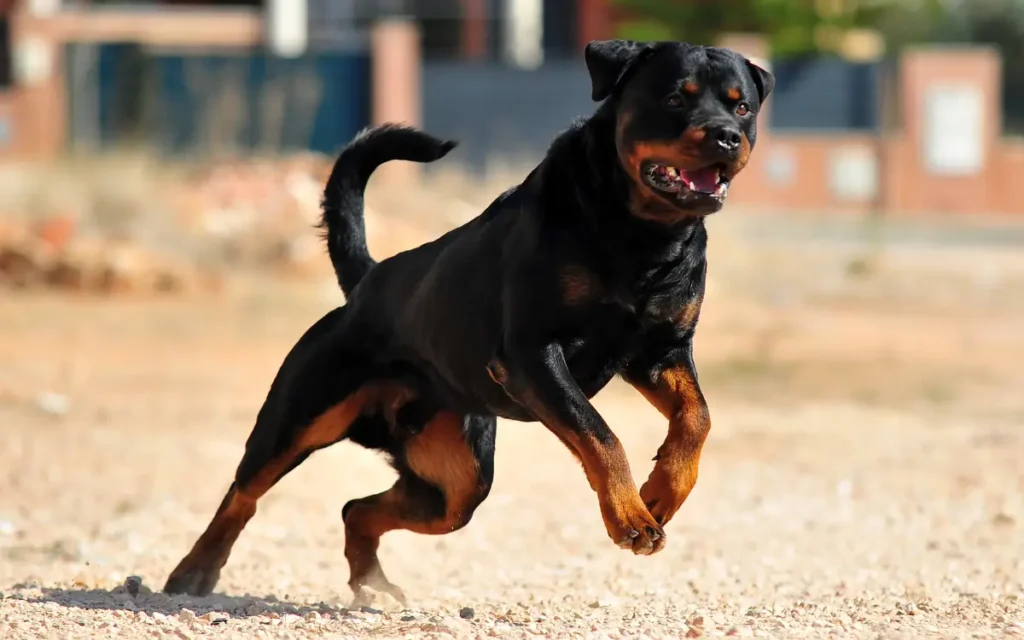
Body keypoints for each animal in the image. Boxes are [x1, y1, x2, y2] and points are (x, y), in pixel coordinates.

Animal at [165, 38, 774, 598]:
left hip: (457, 479)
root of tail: (366, 281)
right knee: (245, 491)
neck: (642, 234)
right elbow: (601, 435)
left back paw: (371, 581)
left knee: (359, 508)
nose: (727, 135)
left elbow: (697, 418)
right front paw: (629, 516)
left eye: (742, 107)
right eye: (675, 98)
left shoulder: (660, 351)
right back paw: (195, 569)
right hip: (302, 415)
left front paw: (662, 493)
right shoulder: (533, 354)